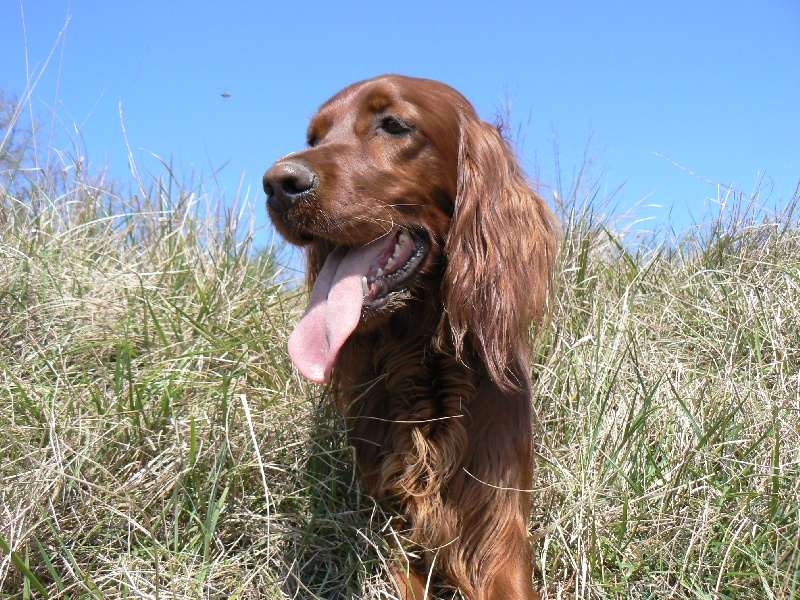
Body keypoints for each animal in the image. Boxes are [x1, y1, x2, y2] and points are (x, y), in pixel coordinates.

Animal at [262, 75, 556, 600]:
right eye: (313, 138)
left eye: (393, 124)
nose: (278, 184)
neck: (426, 363)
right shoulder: (394, 525)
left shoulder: (498, 528)